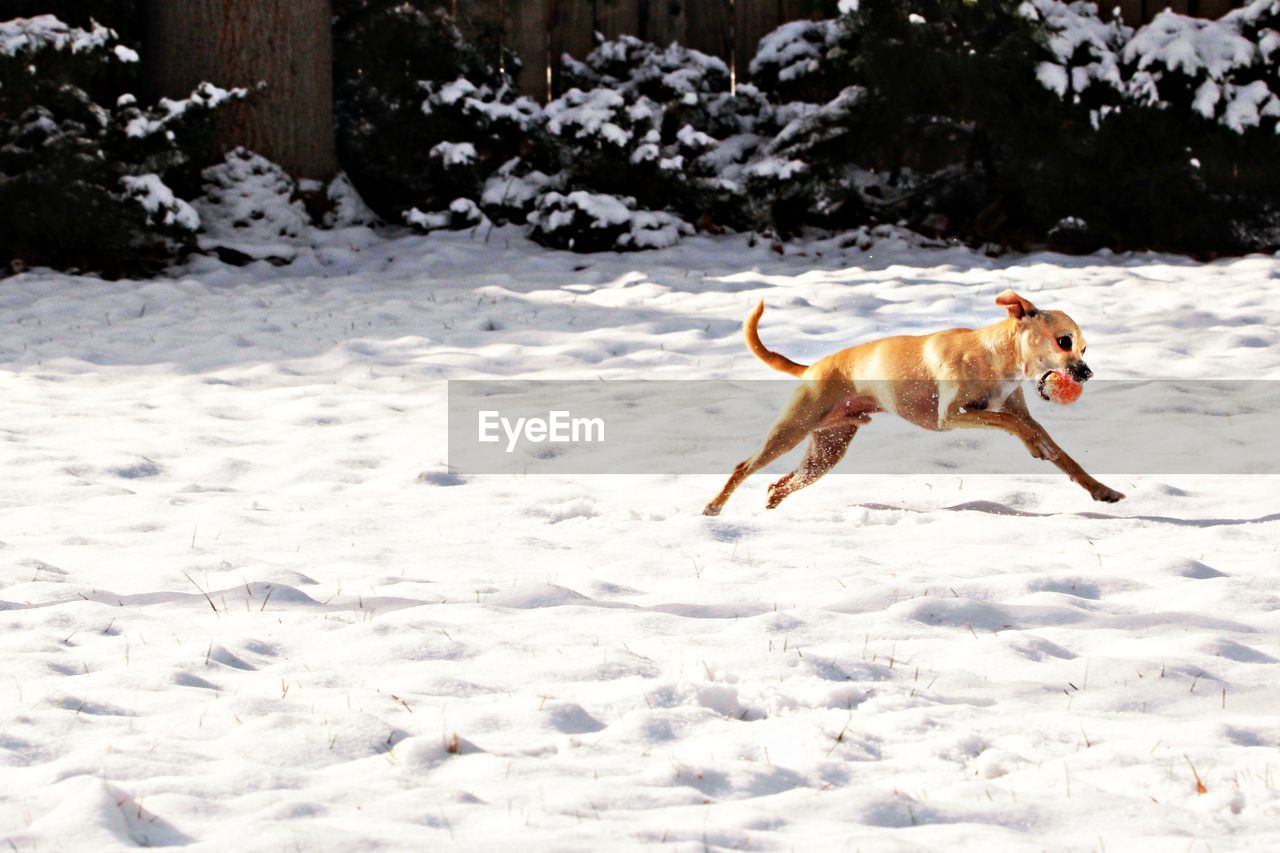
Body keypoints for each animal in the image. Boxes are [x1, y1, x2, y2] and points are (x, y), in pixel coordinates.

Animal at [706, 286, 1126, 512]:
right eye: (1064, 341)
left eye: (1084, 347)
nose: (1086, 374)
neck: (994, 356)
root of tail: (812, 368)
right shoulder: (953, 414)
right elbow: (1011, 422)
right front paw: (1033, 442)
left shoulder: (1012, 412)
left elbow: (1063, 456)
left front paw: (1100, 490)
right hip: (791, 430)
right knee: (743, 467)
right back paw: (714, 507)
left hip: (827, 450)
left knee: (782, 481)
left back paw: (773, 500)